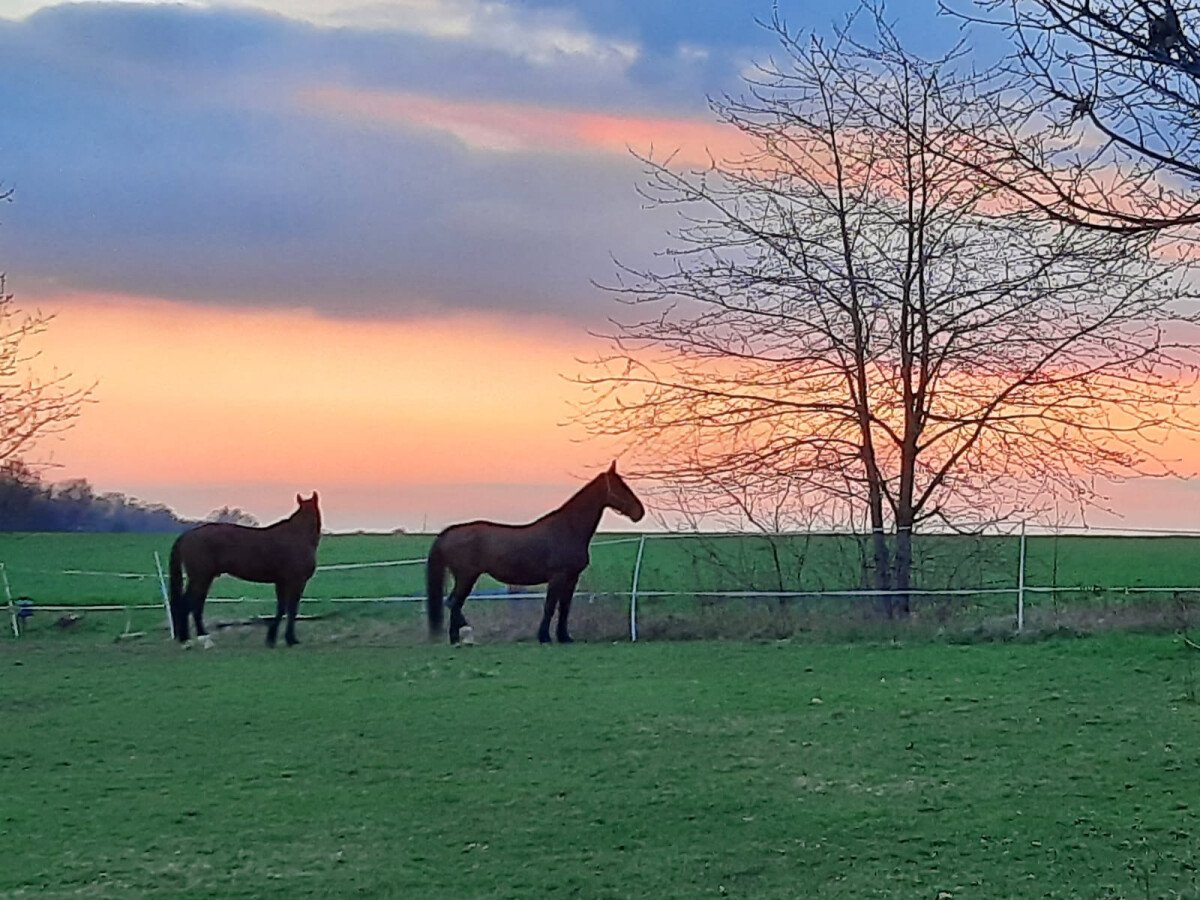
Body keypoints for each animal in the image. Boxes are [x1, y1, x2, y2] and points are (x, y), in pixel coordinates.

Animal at [166, 494, 324, 648]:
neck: (297, 536)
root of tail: (187, 535)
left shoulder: (281, 582)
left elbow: (281, 609)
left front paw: (271, 639)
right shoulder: (296, 582)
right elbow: (291, 609)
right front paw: (290, 639)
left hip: (204, 578)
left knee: (196, 605)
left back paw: (202, 637)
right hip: (200, 578)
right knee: (188, 604)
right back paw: (189, 639)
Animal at [424, 460, 643, 643]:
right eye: (620, 487)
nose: (639, 512)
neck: (568, 528)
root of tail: (449, 533)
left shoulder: (572, 578)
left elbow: (564, 608)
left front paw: (564, 637)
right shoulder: (558, 577)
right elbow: (550, 607)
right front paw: (544, 637)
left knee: (454, 603)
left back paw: (457, 638)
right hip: (466, 577)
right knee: (453, 603)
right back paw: (461, 635)